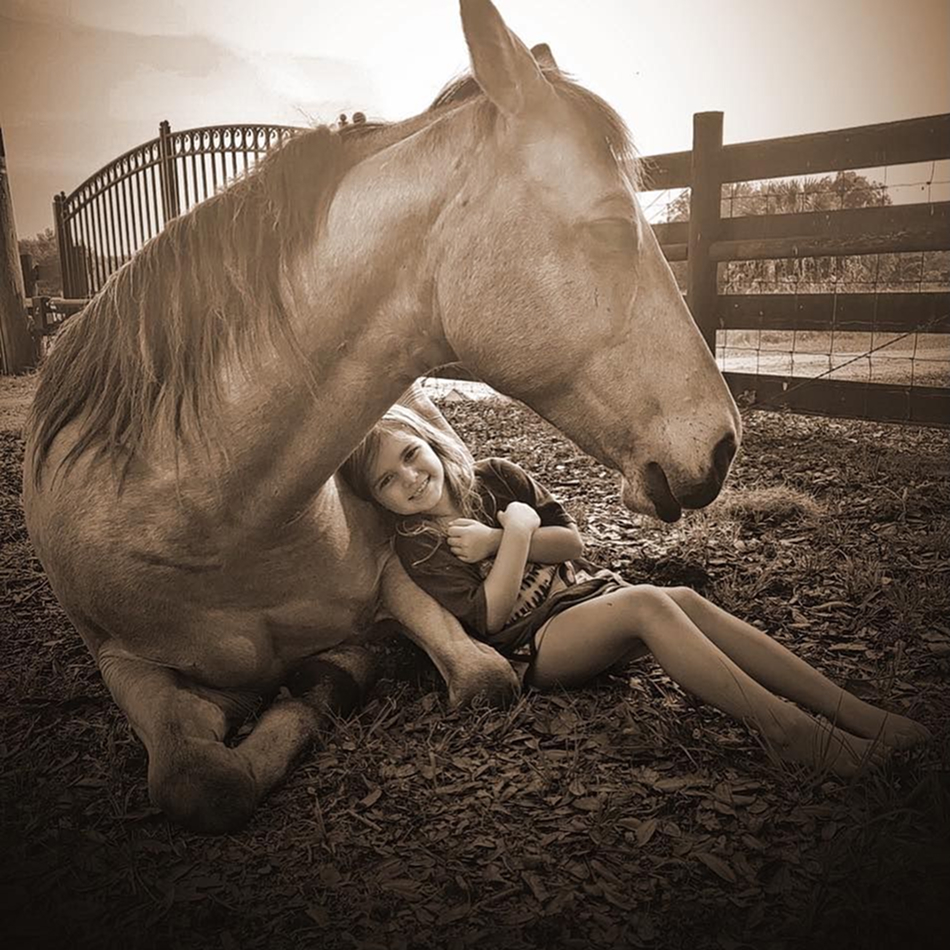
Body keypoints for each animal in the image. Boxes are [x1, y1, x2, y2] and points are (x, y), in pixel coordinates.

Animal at [23, 0, 741, 833]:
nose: (724, 446)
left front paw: (330, 673)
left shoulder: (394, 579)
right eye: (610, 227)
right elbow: (203, 781)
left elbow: (476, 675)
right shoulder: (119, 657)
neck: (206, 516)